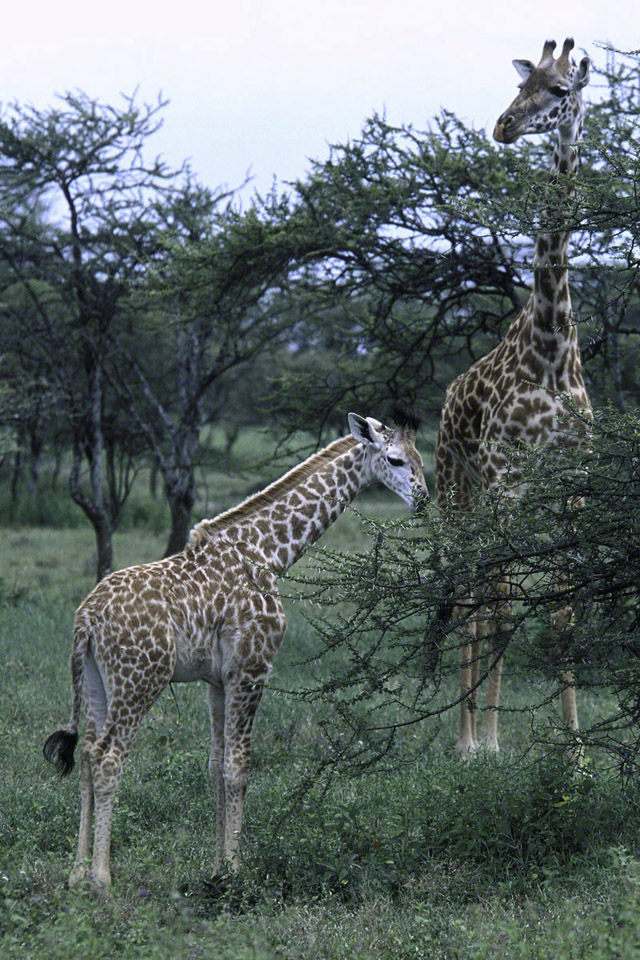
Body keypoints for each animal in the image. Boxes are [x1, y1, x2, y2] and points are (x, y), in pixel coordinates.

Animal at [42, 408, 428, 888]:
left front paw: (216, 868)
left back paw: (76, 874)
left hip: (95, 679)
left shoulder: (218, 679)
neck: (267, 553)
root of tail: (86, 620)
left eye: (421, 457)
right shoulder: (253, 667)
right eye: (394, 460)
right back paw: (101, 878)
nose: (424, 500)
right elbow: (239, 767)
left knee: (86, 757)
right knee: (108, 757)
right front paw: (236, 872)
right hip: (141, 679)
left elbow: (215, 766)